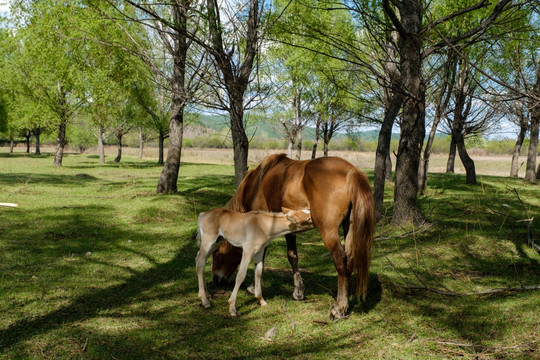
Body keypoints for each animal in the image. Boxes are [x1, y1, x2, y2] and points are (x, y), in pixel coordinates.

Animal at [212, 154, 376, 318]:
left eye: (217, 252)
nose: (216, 279)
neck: (256, 185)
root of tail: (350, 171)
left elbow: (263, 259)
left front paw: (254, 287)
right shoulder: (288, 228)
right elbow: (293, 256)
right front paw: (298, 291)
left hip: (329, 232)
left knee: (340, 260)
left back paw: (339, 306)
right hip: (349, 227)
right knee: (350, 259)